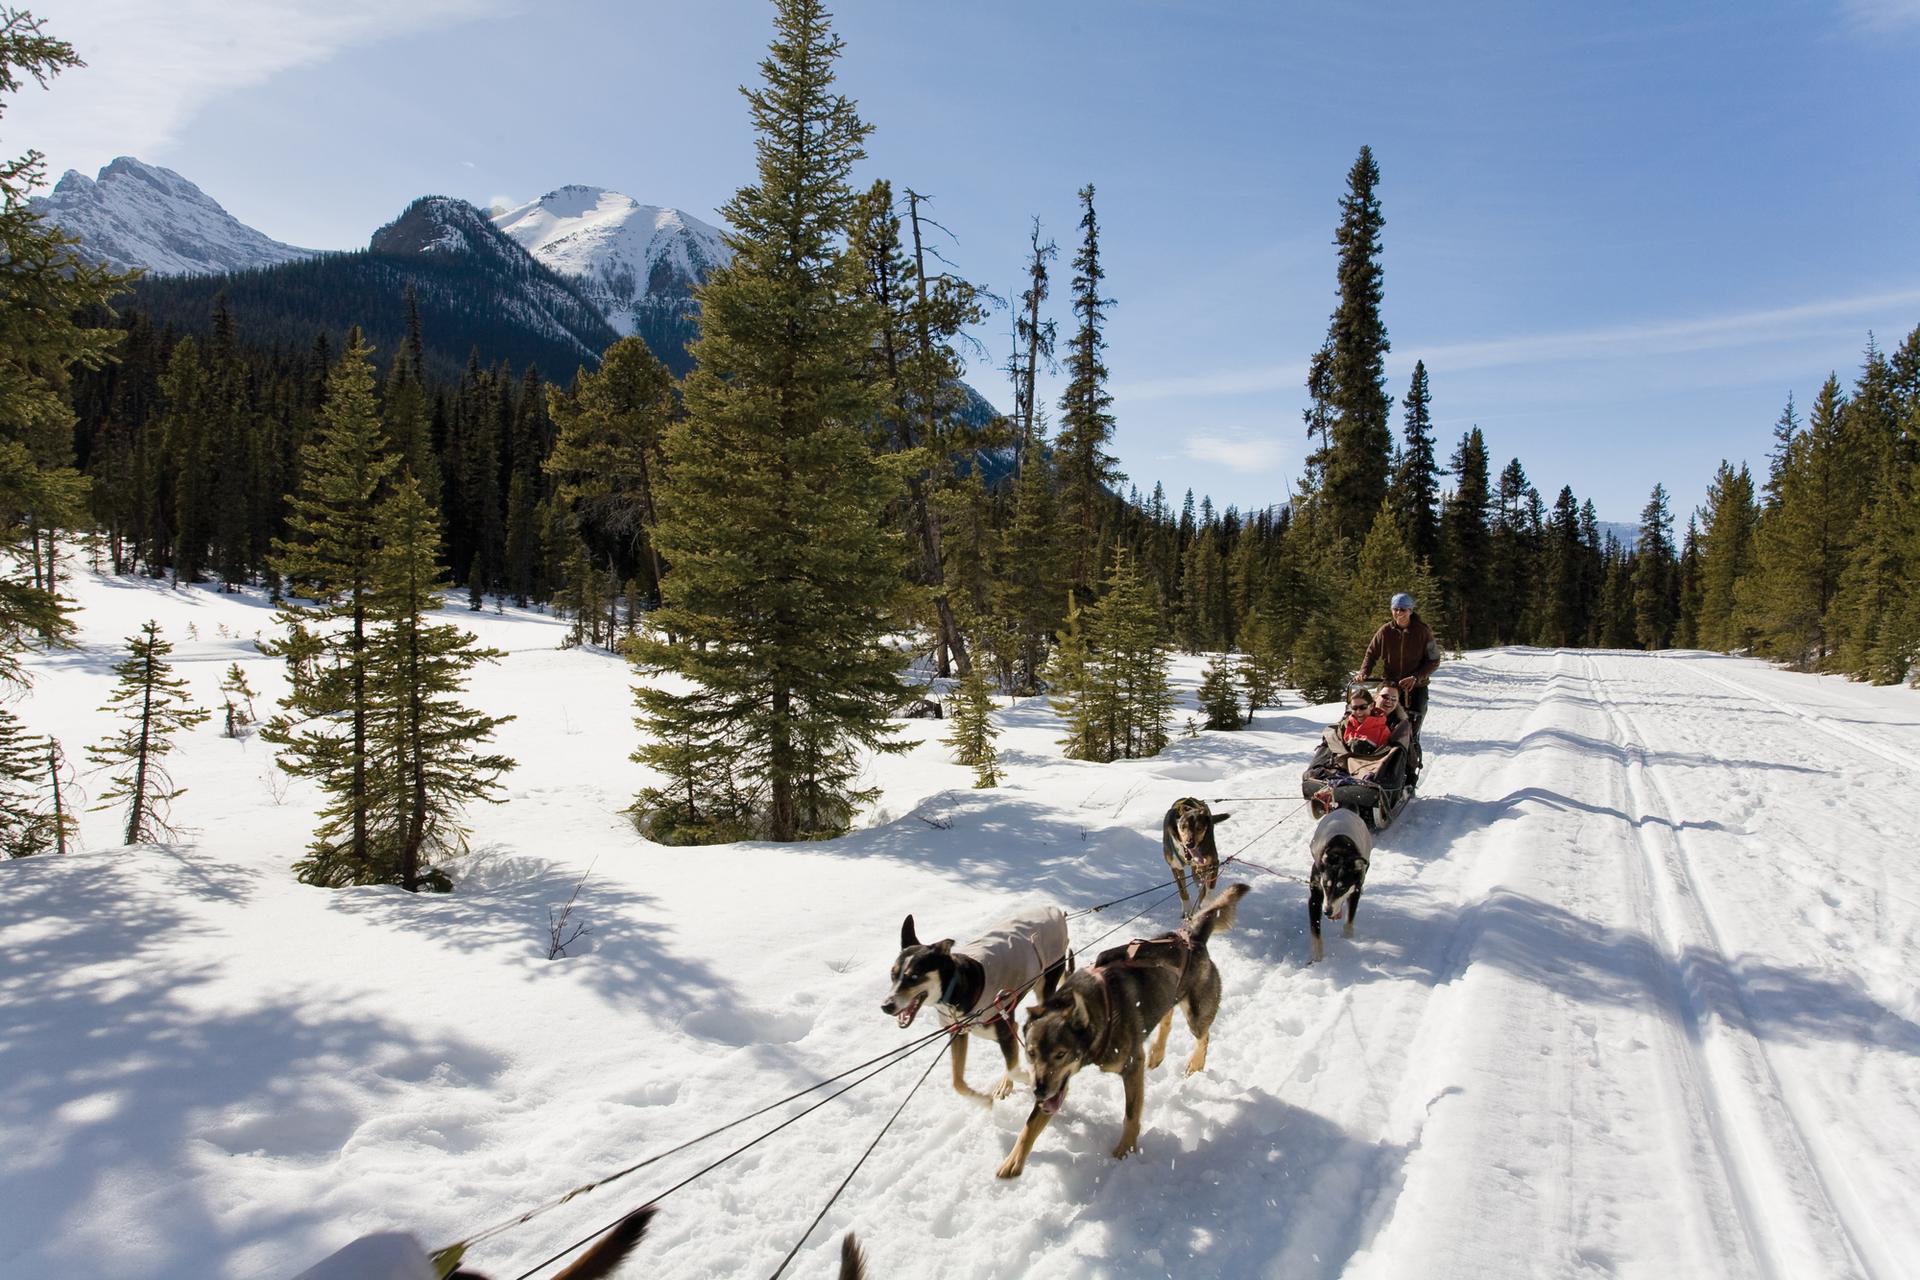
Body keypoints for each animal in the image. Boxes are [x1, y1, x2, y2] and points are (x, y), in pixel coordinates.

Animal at [879, 905, 1075, 1105]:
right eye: (893, 975)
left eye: (914, 976)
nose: (886, 1006)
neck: (957, 986)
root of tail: (1055, 910)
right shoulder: (958, 1034)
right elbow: (957, 1082)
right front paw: (982, 1100)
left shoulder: (1005, 1031)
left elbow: (1013, 1068)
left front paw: (1030, 1077)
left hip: (1045, 986)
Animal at [998, 886, 1251, 1174]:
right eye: (1030, 1053)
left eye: (1060, 1054)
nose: (1038, 1091)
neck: (1100, 1009)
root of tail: (1191, 938)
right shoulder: (1057, 1084)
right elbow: (1031, 1124)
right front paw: (1013, 1161)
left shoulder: (1131, 1066)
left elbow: (1131, 1114)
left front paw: (1126, 1150)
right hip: (1167, 996)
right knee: (1167, 1018)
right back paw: (1157, 1052)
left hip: (1197, 1014)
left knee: (1204, 1036)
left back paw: (1195, 1062)